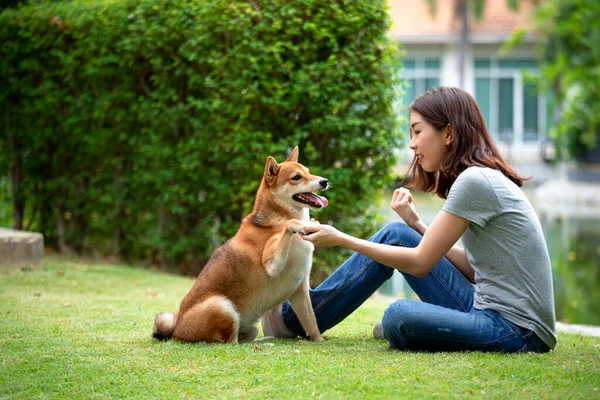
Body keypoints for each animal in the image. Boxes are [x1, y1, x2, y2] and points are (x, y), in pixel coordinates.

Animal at [151, 147, 328, 344]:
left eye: (308, 171)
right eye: (296, 177)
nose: (325, 181)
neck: (277, 217)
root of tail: (177, 330)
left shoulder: (300, 289)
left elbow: (311, 322)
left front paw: (319, 340)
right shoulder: (272, 265)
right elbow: (290, 225)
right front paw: (298, 224)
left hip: (249, 328)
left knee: (243, 339)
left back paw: (266, 340)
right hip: (223, 306)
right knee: (231, 343)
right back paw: (266, 343)